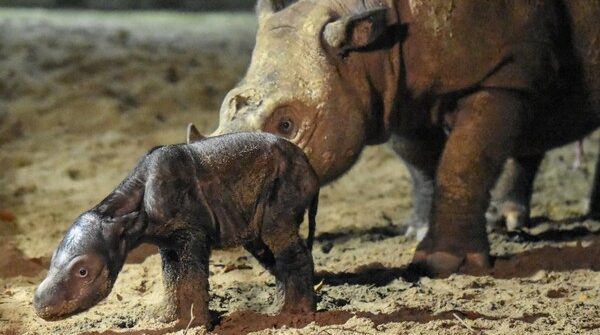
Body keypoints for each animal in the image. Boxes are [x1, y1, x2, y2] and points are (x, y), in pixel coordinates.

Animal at [34, 127, 318, 330]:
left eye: (83, 272)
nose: (38, 304)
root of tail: (309, 164)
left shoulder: (192, 232)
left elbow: (192, 277)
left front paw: (197, 326)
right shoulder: (167, 240)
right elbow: (171, 278)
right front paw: (167, 320)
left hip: (286, 177)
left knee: (276, 233)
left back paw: (296, 316)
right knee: (263, 246)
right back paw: (278, 311)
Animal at [213, 0, 596, 276]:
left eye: (286, 125)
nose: (233, 214)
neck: (369, 52)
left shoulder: (502, 72)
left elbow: (465, 159)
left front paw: (443, 263)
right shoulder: (399, 92)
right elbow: (421, 163)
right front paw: (418, 230)